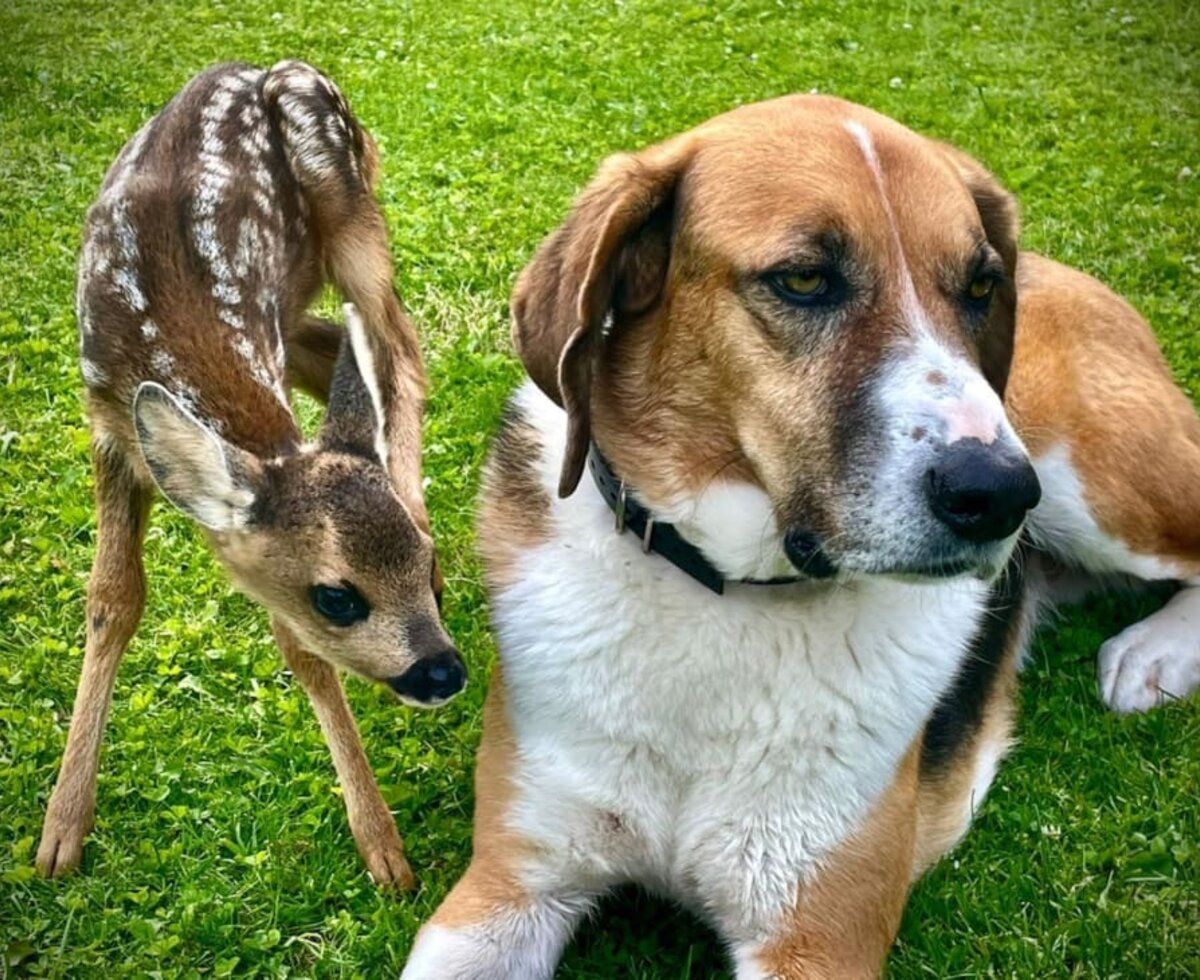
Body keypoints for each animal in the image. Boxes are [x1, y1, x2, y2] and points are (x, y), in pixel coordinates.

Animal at [405, 89, 1200, 969]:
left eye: (980, 287)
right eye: (805, 280)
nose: (996, 495)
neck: (725, 594)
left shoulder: (819, 938)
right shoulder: (506, 886)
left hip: (1096, 481)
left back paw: (1155, 654)